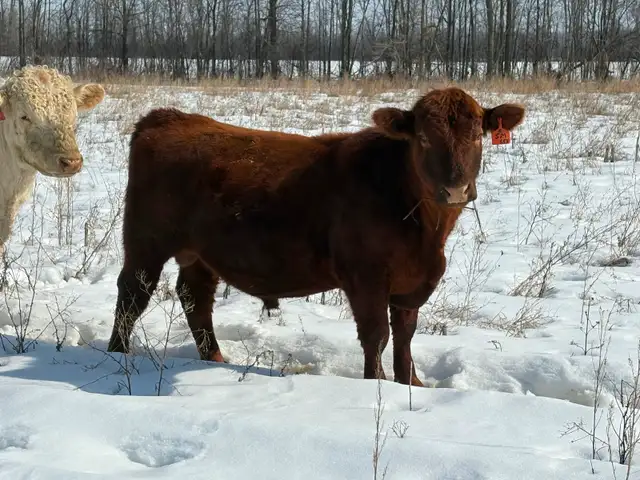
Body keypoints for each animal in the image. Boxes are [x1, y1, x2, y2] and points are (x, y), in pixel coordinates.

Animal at [106, 87, 525, 386]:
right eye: (422, 138)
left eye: (477, 137)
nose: (455, 189)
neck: (424, 230)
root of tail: (168, 116)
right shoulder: (365, 276)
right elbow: (377, 335)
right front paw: (376, 384)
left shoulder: (412, 282)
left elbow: (405, 336)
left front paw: (412, 385)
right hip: (146, 242)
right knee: (132, 295)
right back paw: (116, 354)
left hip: (201, 252)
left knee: (195, 299)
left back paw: (215, 358)